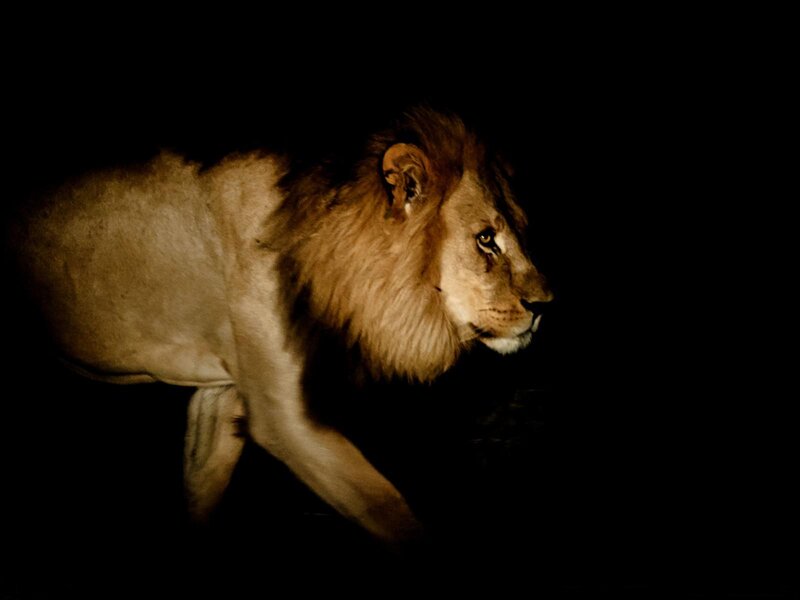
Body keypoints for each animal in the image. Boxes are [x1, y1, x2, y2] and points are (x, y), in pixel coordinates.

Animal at [9, 108, 552, 543]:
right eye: (486, 239)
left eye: (515, 232)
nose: (545, 303)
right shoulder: (285, 418)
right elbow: (390, 510)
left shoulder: (222, 393)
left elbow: (200, 493)